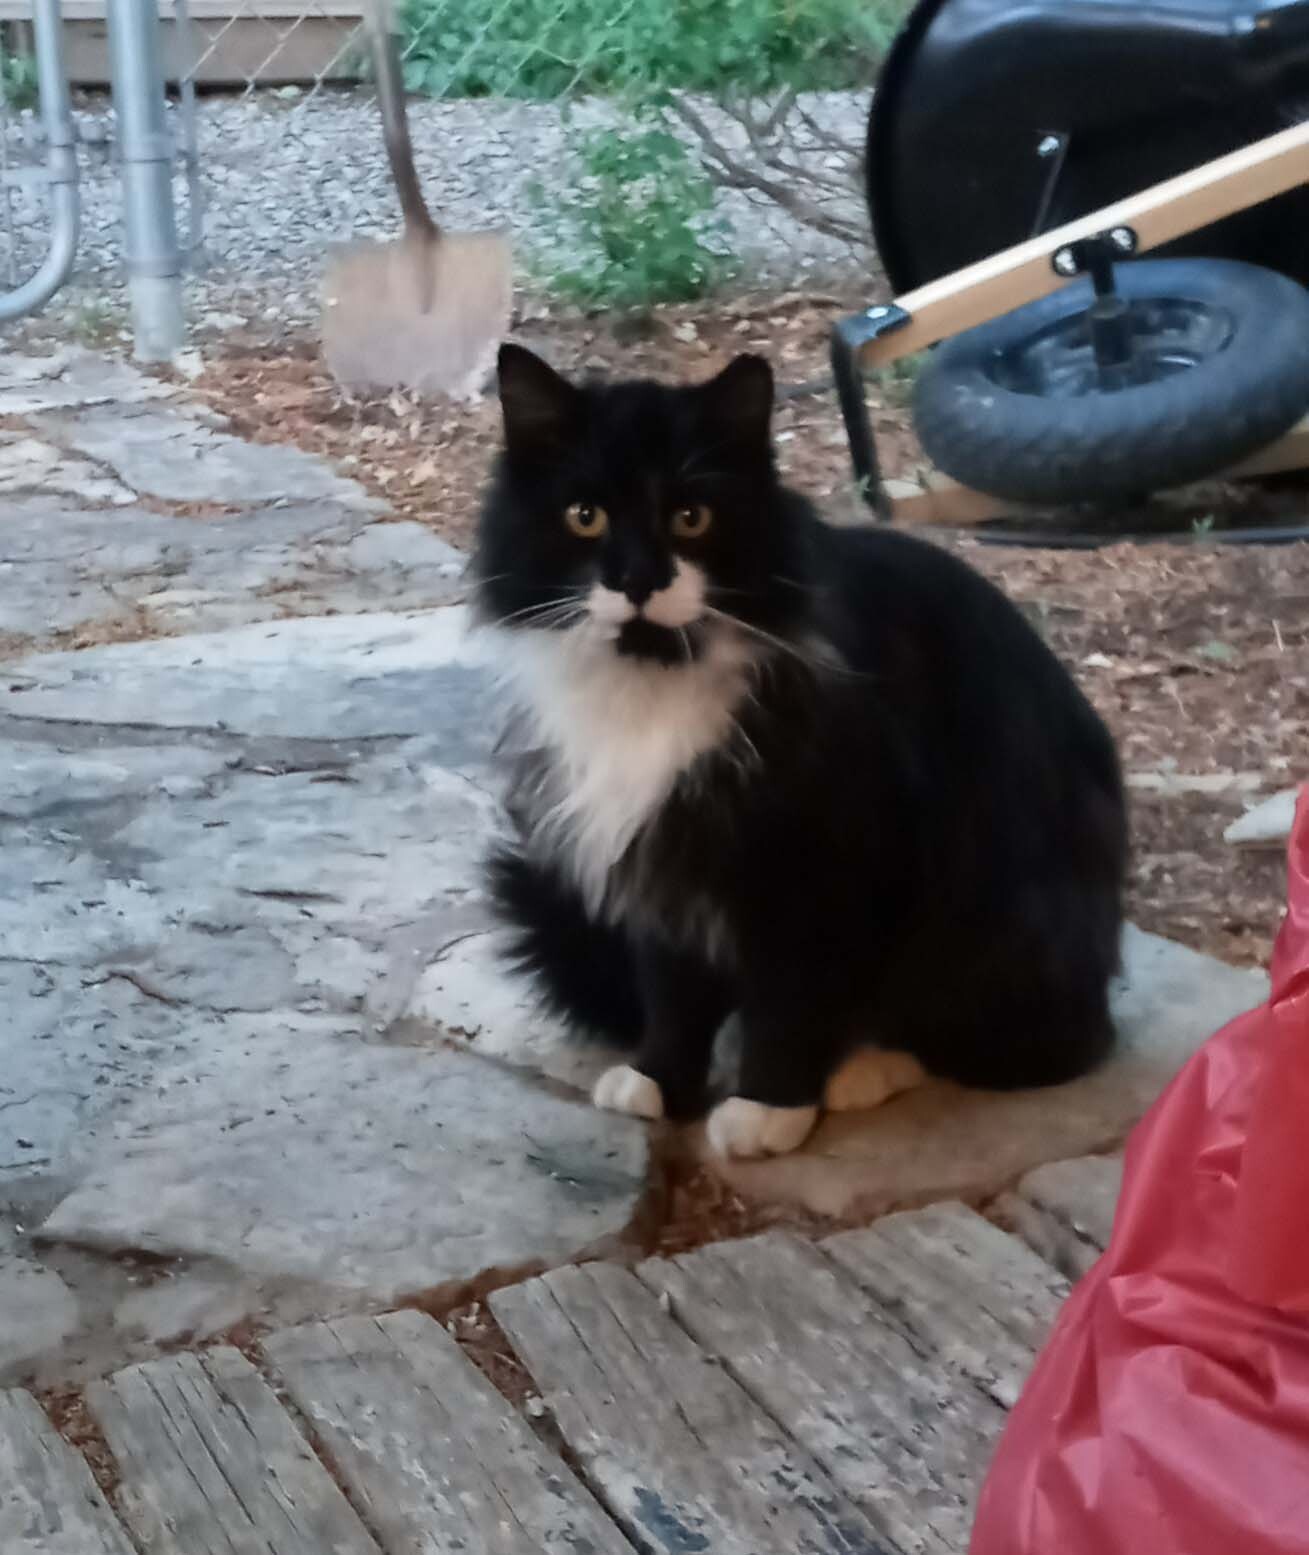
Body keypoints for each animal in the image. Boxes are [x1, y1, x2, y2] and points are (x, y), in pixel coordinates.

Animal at [469, 346, 1119, 1163]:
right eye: (584, 517)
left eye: (691, 517)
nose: (639, 578)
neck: (655, 683)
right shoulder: (662, 855)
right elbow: (671, 991)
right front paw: (658, 1082)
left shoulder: (818, 861)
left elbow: (790, 996)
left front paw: (766, 1108)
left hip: (996, 924)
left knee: (1035, 1043)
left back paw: (859, 1070)